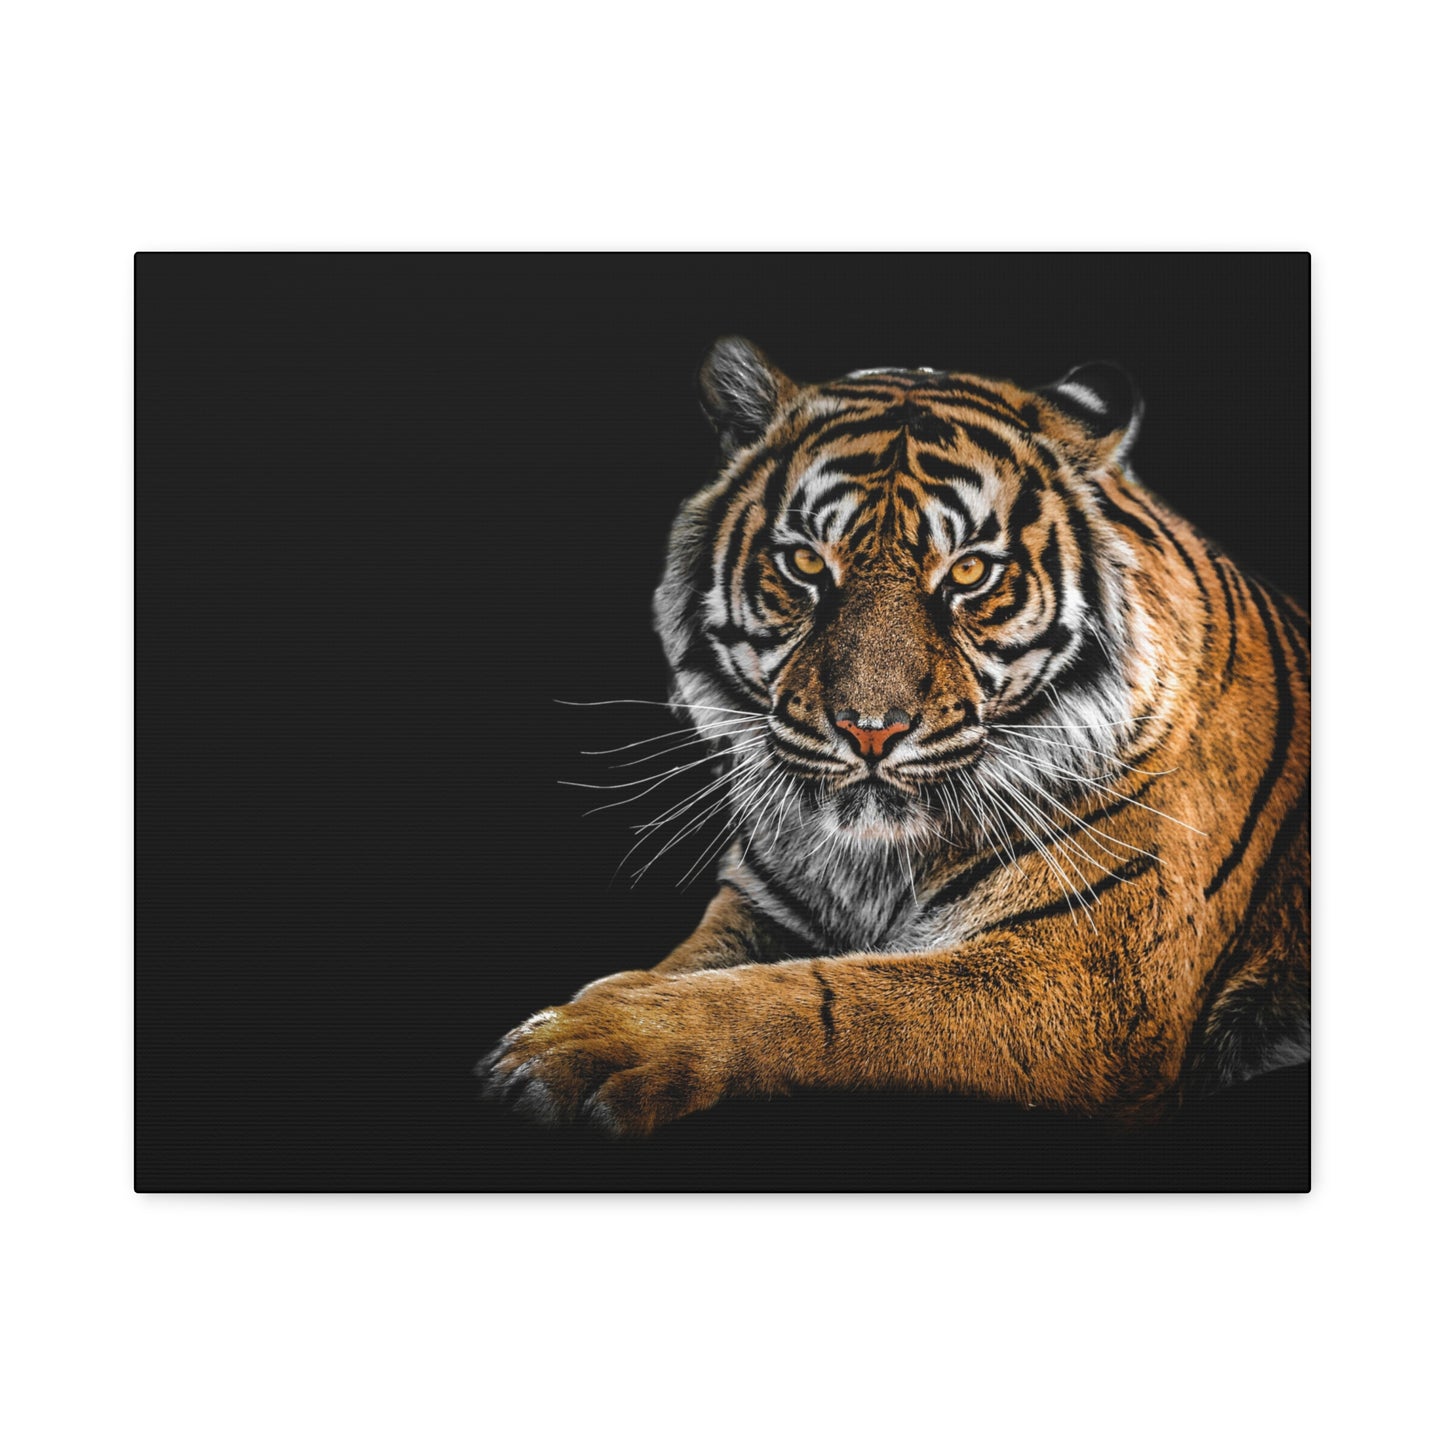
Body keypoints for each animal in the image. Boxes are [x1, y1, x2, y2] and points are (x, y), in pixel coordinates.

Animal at [478, 337, 1310, 1138]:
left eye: (969, 572)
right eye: (805, 562)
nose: (868, 731)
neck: (874, 862)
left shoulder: (1089, 981)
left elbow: (824, 995)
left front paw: (586, 1042)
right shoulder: (759, 907)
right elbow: (693, 964)